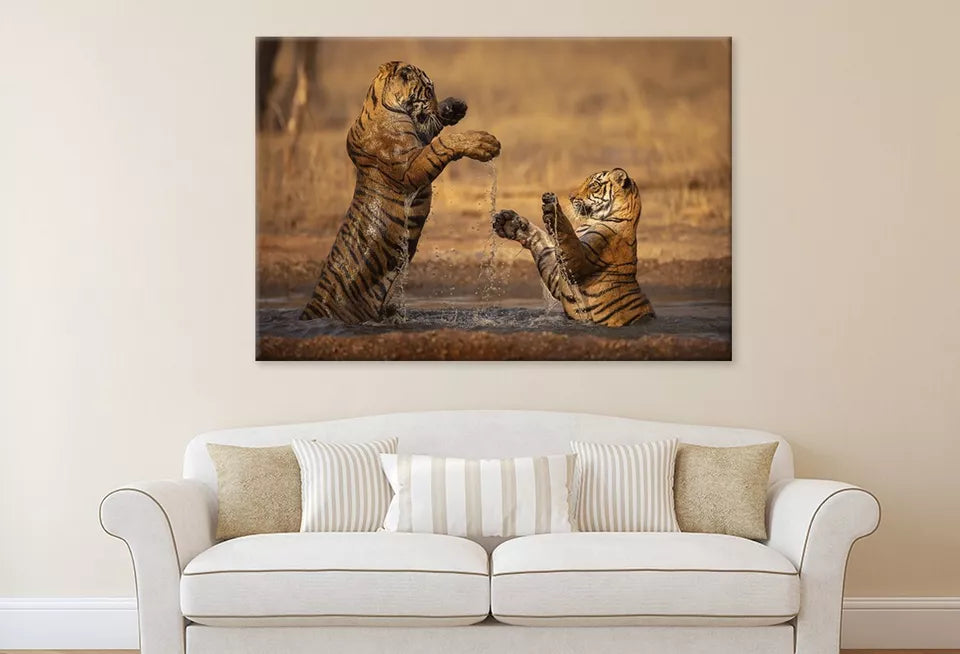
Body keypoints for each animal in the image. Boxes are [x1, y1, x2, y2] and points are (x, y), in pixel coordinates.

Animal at [299, 61, 501, 322]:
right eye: (428, 90)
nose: (440, 104)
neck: (377, 103)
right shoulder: (409, 168)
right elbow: (440, 145)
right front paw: (483, 143)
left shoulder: (420, 135)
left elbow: (433, 127)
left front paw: (454, 106)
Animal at [492, 168, 655, 327]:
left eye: (593, 185)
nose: (570, 197)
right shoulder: (558, 276)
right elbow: (543, 246)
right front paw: (509, 222)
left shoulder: (578, 261)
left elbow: (568, 234)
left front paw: (554, 209)